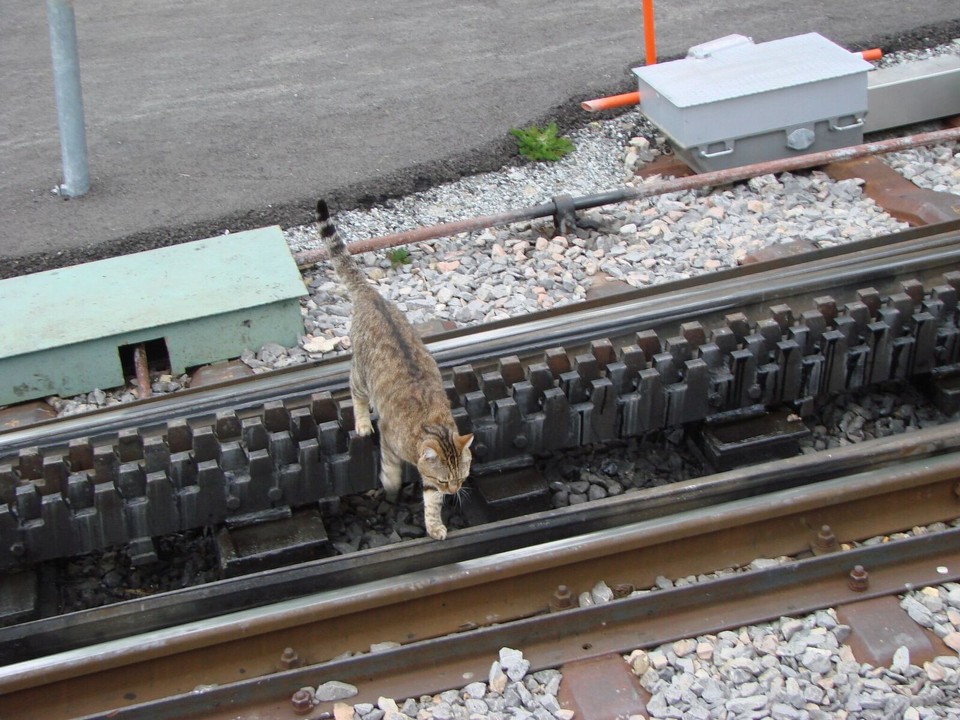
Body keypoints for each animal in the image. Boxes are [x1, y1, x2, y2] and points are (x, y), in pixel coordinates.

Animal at [316, 200, 474, 536]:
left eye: (460, 478)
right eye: (445, 479)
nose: (454, 491)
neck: (432, 427)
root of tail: (371, 294)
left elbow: (430, 502)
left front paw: (434, 525)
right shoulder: (390, 440)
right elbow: (390, 468)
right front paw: (390, 484)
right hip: (361, 374)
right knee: (355, 392)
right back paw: (363, 422)